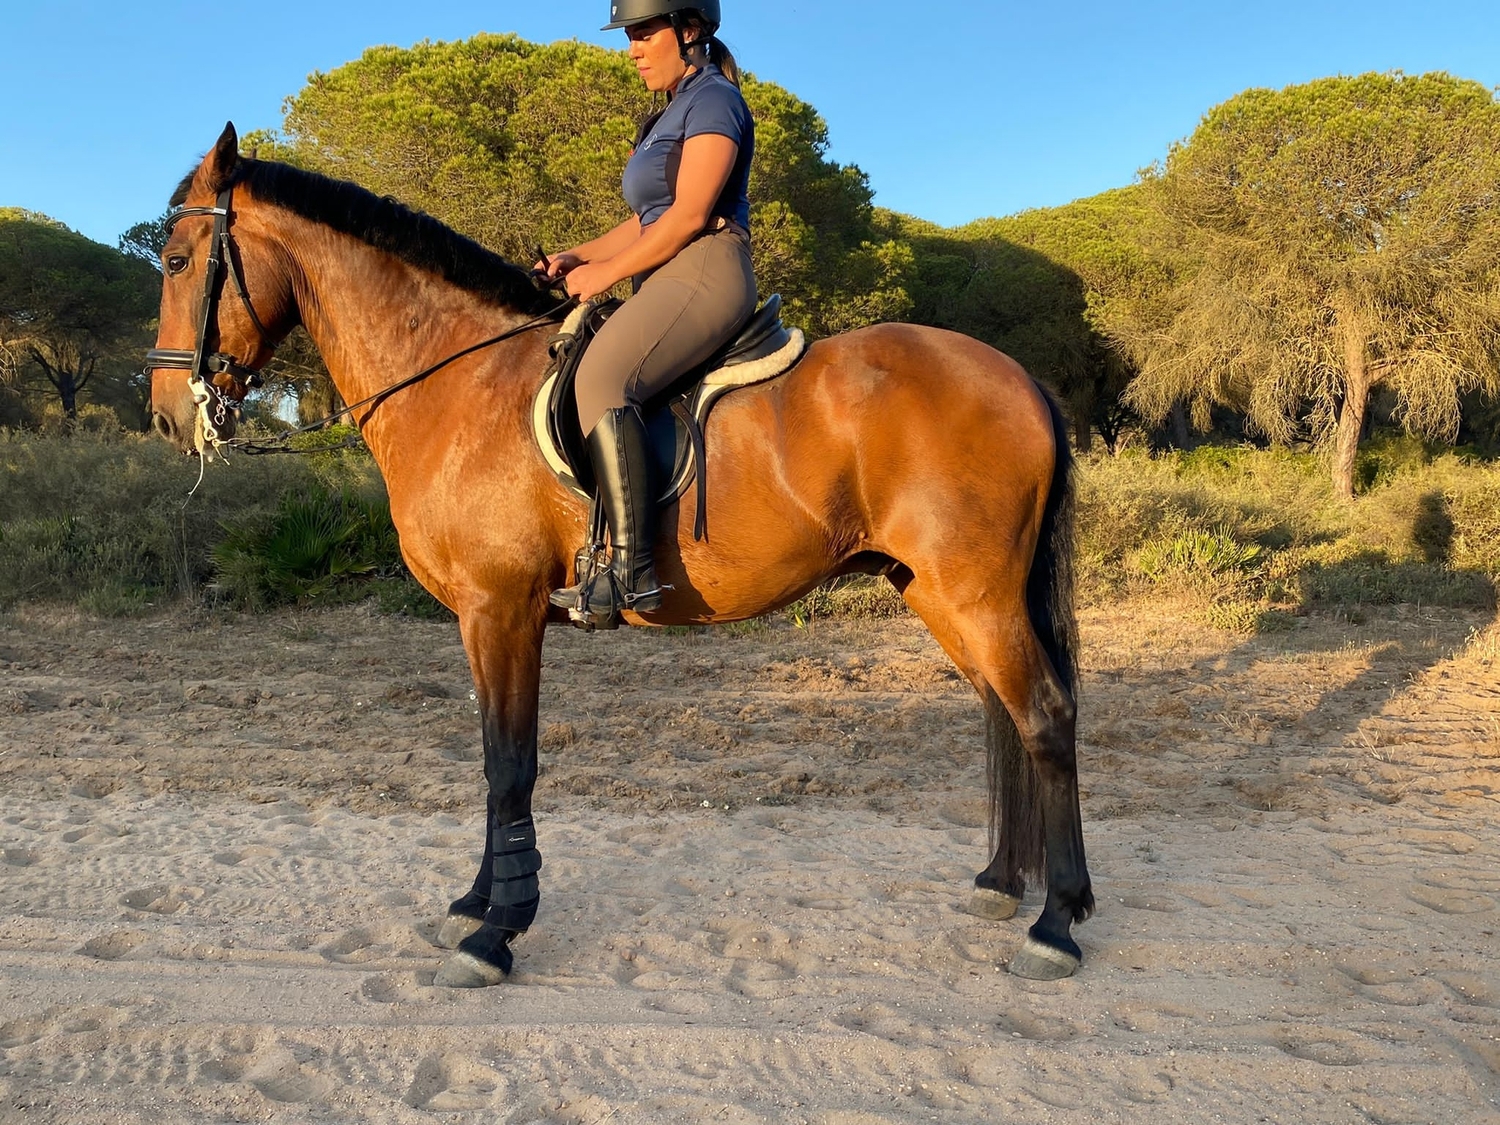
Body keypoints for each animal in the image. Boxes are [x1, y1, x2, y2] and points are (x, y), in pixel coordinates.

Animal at [148, 123, 1093, 987]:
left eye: (176, 258)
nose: (164, 414)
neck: (455, 379)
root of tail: (1021, 378)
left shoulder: (502, 608)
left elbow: (510, 764)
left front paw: (497, 933)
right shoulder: (481, 617)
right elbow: (492, 759)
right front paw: (477, 901)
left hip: (975, 593)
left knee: (1045, 714)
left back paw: (1056, 922)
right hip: (936, 591)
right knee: (1003, 712)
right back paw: (1003, 882)